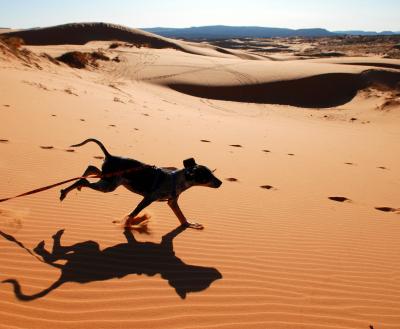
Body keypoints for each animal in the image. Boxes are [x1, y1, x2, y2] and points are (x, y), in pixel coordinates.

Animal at [60, 138, 222, 228]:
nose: (220, 183)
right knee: (85, 179)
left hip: (107, 178)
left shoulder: (172, 202)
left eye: (212, 173)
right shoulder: (148, 198)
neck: (177, 179)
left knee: (90, 168)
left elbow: (181, 216)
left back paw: (72, 187)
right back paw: (65, 192)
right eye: (207, 176)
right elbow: (133, 214)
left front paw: (189, 224)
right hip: (109, 185)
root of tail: (110, 156)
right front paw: (127, 224)